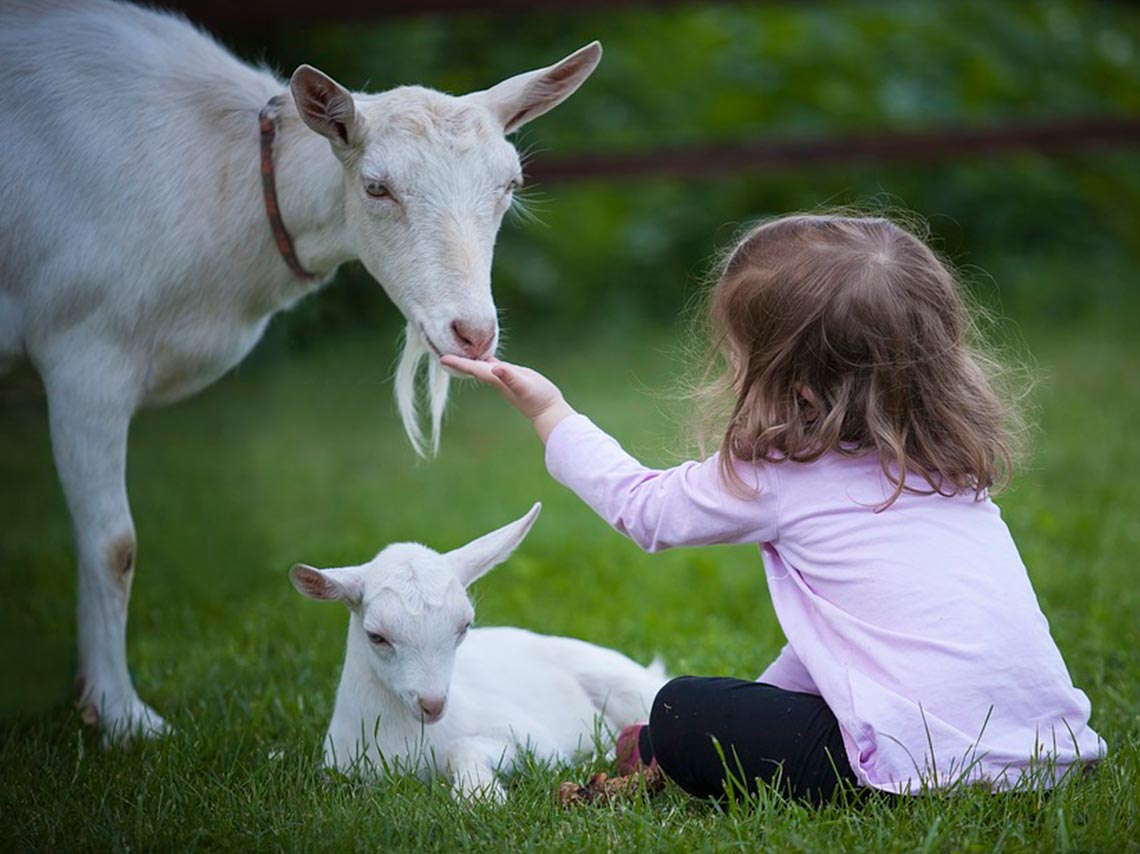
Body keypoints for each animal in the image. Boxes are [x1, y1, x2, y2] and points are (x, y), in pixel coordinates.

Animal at [0, 0, 606, 738]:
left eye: (510, 185)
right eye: (376, 187)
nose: (473, 332)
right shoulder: (86, 346)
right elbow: (115, 545)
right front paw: (122, 717)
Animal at [291, 499, 665, 798]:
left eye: (464, 626)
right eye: (376, 636)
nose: (432, 705)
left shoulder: (535, 741)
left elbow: (466, 745)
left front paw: (480, 795)